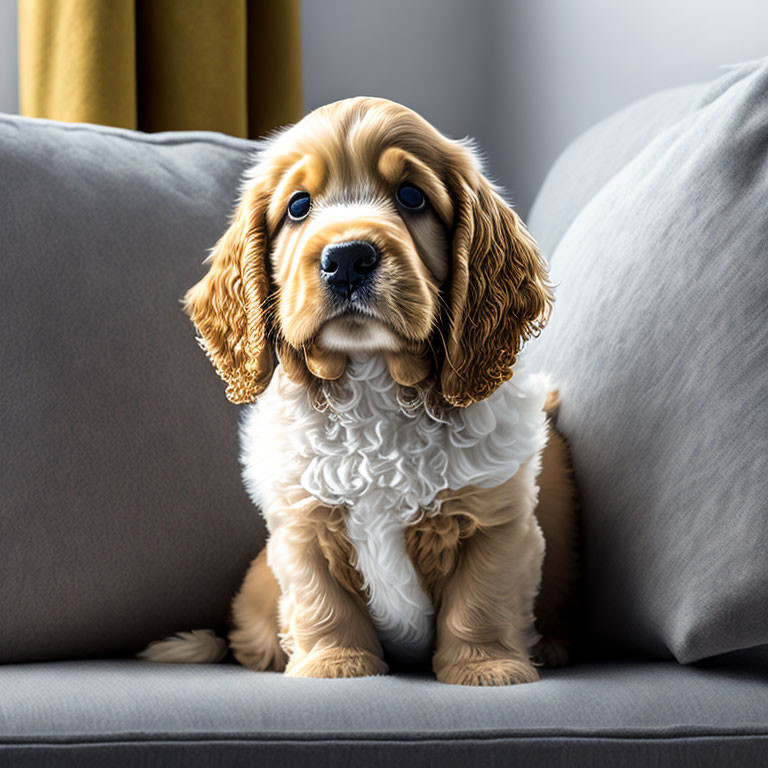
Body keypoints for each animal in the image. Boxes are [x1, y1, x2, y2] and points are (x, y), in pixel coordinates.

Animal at [141, 97, 580, 688]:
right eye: (298, 206)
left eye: (412, 196)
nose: (347, 257)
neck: (375, 385)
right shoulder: (301, 524)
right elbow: (322, 602)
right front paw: (336, 665)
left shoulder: (496, 520)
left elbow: (480, 601)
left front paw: (487, 667)